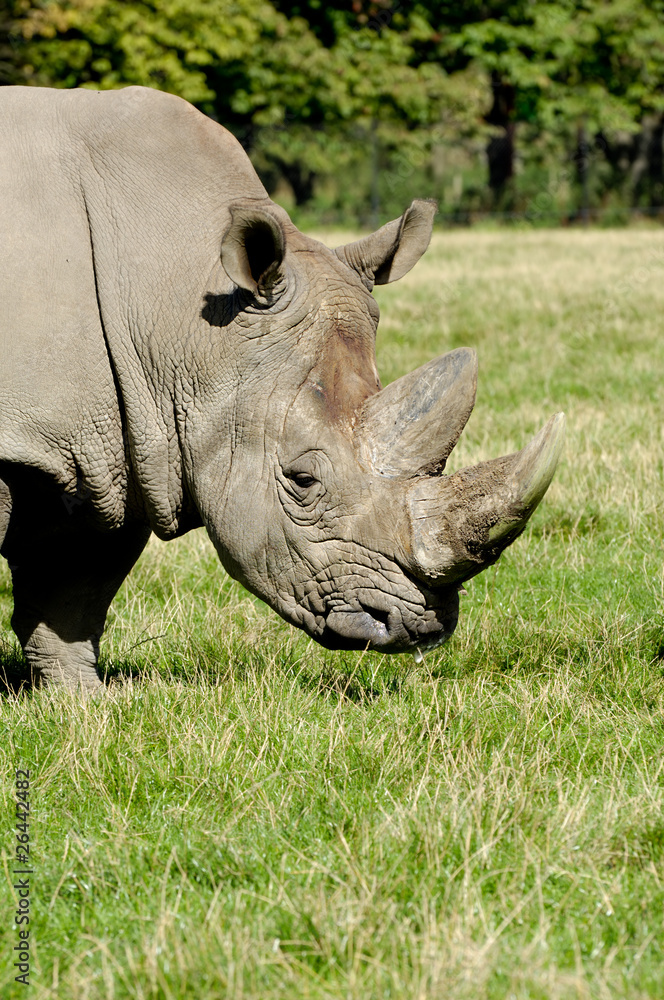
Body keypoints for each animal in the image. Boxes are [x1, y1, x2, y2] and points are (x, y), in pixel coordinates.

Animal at [0, 85, 564, 692]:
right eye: (302, 480)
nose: (421, 626)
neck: (180, 309)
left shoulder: (126, 436)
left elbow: (75, 581)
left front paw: (82, 702)